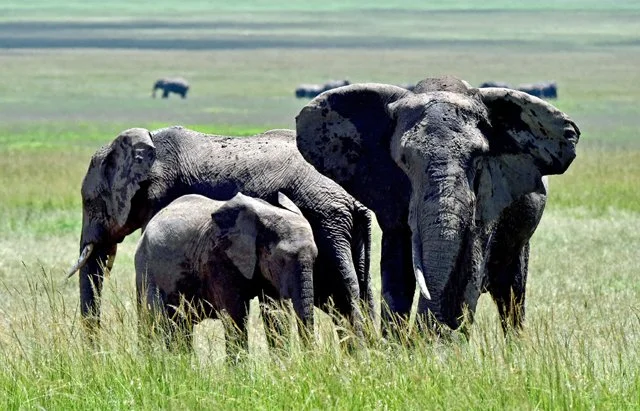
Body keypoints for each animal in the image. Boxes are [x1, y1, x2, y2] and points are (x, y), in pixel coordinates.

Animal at [135, 192, 317, 358]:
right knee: (153, 320)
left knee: (179, 325)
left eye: (315, 258)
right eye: (282, 260)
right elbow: (235, 314)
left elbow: (275, 313)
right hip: (145, 269)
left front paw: (281, 366)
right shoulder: (218, 257)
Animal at [296, 75, 580, 336]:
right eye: (403, 161)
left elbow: (471, 268)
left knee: (511, 294)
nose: (417, 338)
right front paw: (397, 346)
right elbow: (396, 270)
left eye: (479, 159)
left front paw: (442, 344)